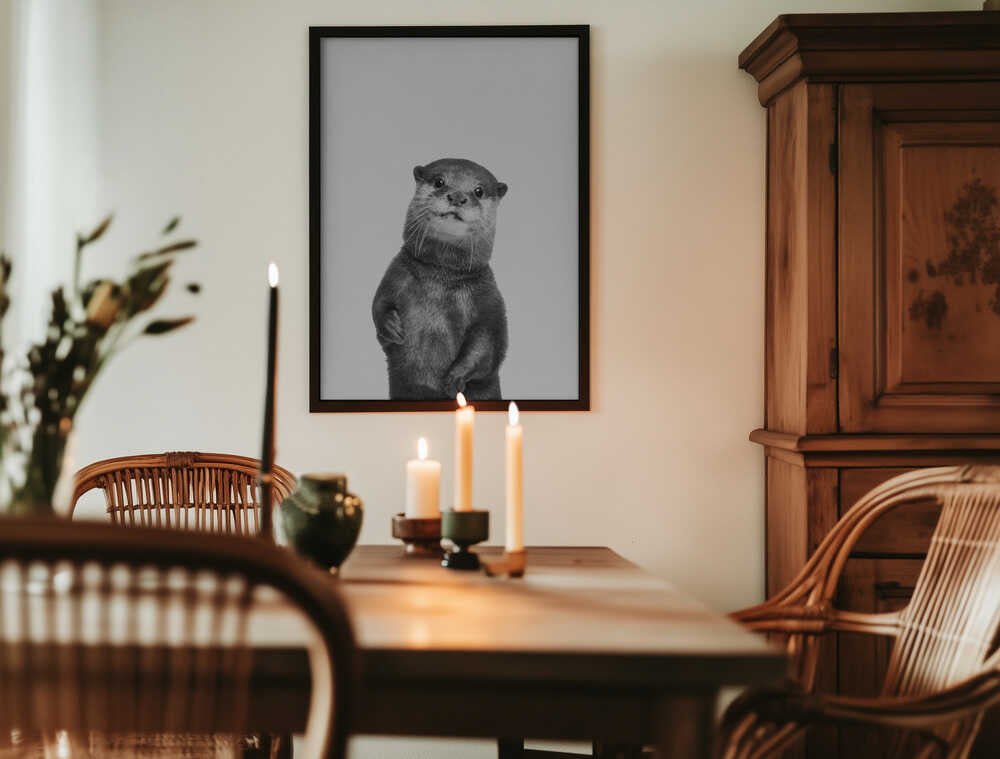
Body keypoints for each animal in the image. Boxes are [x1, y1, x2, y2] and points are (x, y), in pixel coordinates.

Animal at [372, 158, 509, 400]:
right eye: (439, 181)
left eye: (479, 190)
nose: (457, 197)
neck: (441, 279)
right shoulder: (395, 276)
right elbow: (378, 304)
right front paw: (390, 326)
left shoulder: (489, 299)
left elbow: (487, 344)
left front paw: (454, 378)